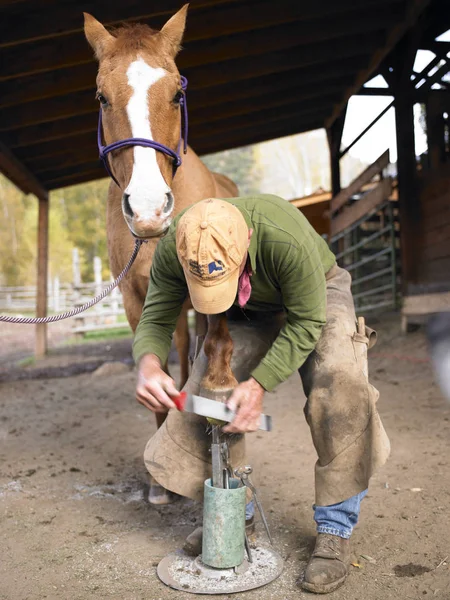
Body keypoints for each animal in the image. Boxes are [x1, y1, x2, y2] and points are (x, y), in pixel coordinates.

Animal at [84, 5, 239, 502]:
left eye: (176, 94)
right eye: (102, 98)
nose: (149, 209)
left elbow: (217, 348)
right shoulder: (136, 299)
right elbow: (154, 365)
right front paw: (156, 484)